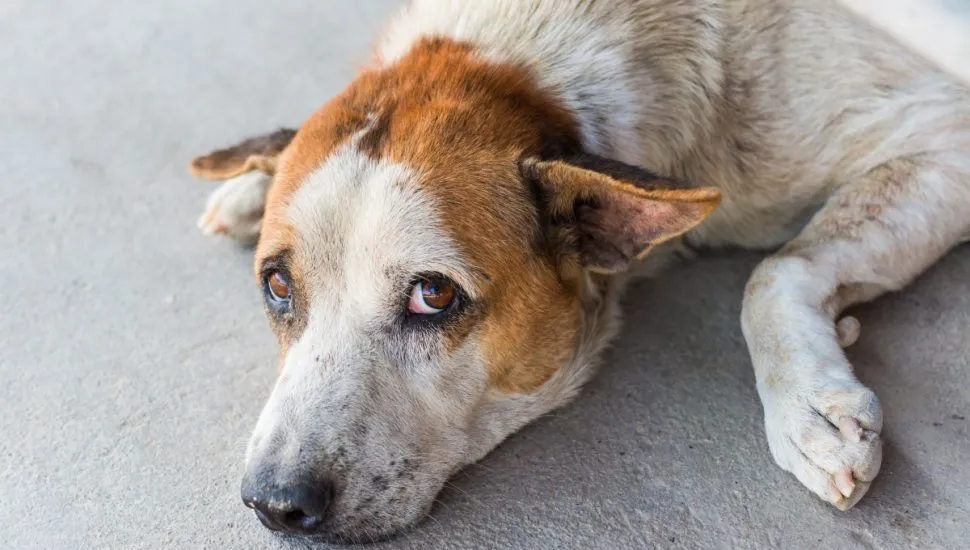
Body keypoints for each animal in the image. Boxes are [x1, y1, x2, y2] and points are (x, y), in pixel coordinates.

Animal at [183, 0, 968, 544]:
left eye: (433, 295)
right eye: (278, 286)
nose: (274, 504)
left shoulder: (943, 137)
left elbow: (775, 273)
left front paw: (809, 408)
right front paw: (253, 179)